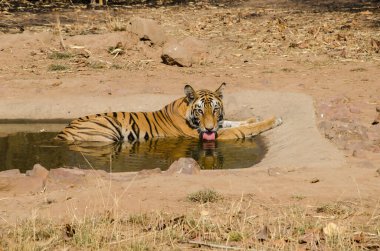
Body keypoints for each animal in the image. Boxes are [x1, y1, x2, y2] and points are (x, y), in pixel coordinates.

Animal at [55, 83, 282, 142]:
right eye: (200, 111)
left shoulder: (217, 126)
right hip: (108, 131)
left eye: (215, 109)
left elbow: (234, 122)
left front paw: (252, 117)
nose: (208, 128)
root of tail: (62, 132)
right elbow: (244, 129)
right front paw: (273, 119)